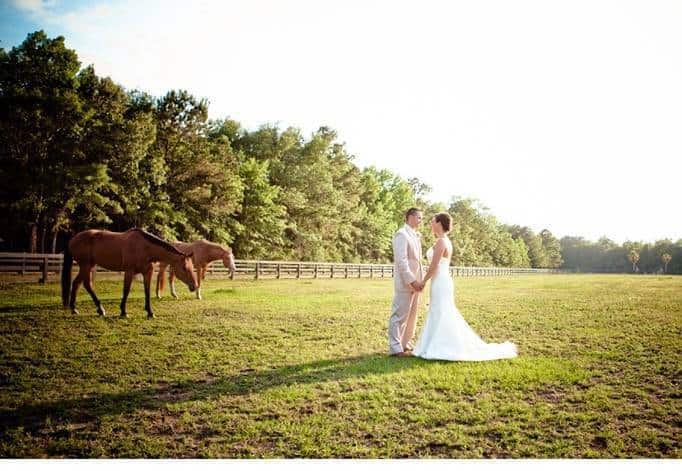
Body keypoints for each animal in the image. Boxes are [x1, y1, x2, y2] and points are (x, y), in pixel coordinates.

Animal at [61, 227, 198, 318]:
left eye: (192, 266)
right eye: (184, 267)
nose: (195, 286)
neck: (145, 248)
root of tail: (73, 239)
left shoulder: (147, 272)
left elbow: (147, 292)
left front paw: (150, 312)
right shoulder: (129, 271)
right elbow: (126, 291)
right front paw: (123, 311)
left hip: (88, 266)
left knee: (77, 283)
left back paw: (75, 309)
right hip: (86, 266)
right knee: (86, 285)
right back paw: (100, 309)